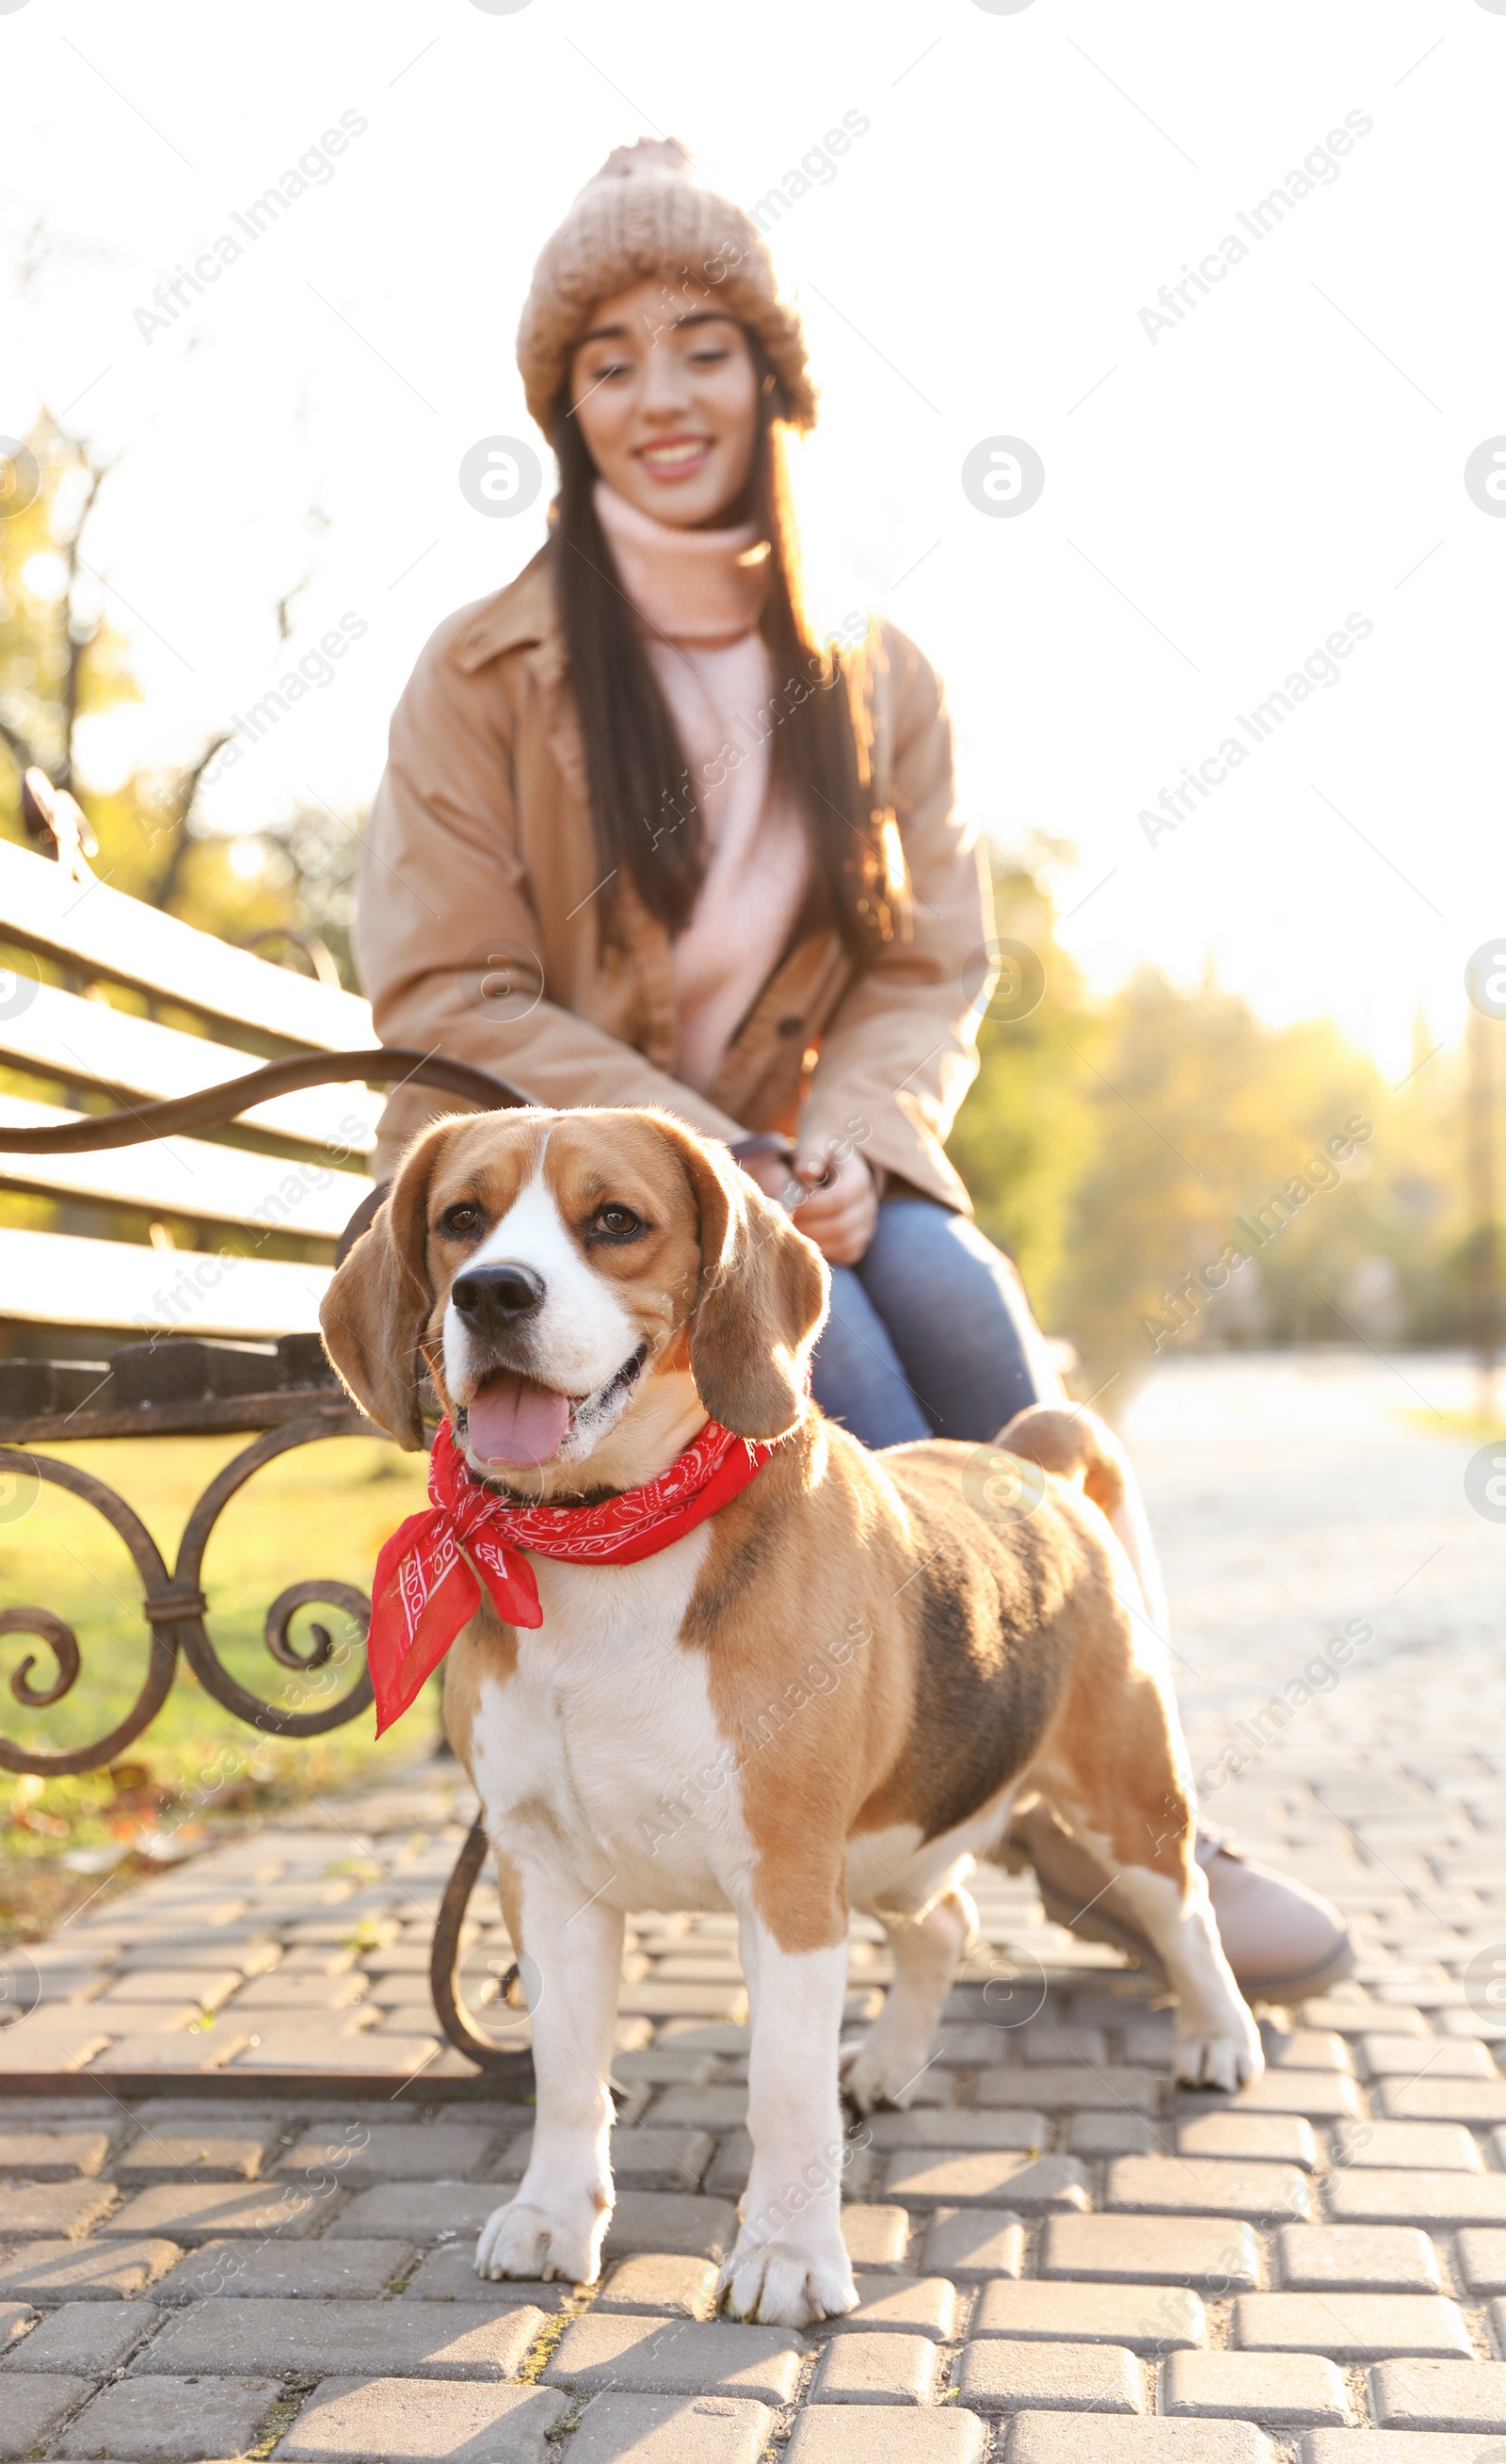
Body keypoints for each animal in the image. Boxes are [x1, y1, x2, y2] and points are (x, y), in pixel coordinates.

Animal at [323, 1113, 1261, 2326]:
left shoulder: (787, 1881)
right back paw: (891, 2064)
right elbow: (567, 2077)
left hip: (1123, 1799)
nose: (491, 1292)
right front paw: (551, 2214)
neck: (606, 1544)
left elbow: (781, 2090)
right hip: (893, 1846)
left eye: (614, 1220)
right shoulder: (546, 1878)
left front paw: (785, 2252)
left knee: (1185, 1914)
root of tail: (1028, 1465)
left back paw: (1219, 2036)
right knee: (944, 1921)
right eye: (460, 1218)